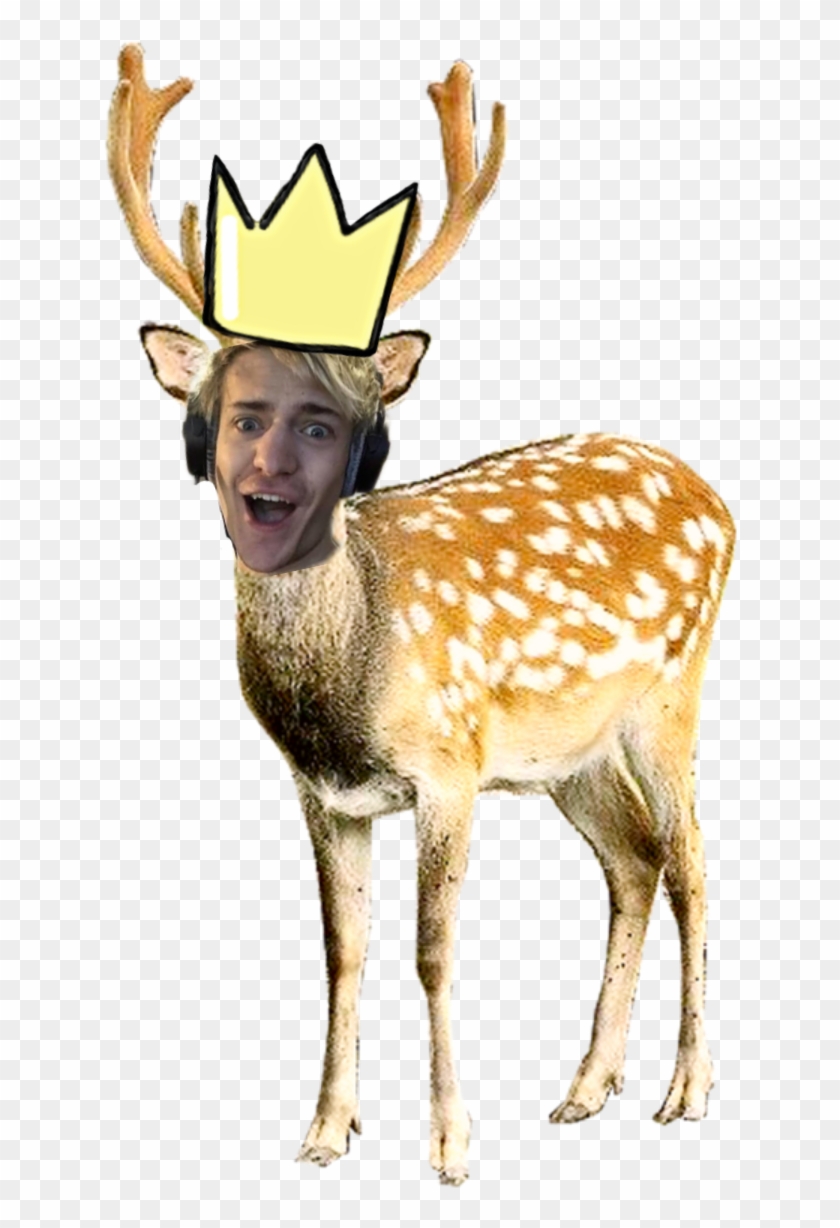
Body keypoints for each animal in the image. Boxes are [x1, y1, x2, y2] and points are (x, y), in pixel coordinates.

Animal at [109, 44, 736, 1185]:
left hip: (671, 692)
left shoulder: (448, 763)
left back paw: (686, 1089)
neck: (344, 682)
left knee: (694, 862)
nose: (267, 486)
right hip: (567, 754)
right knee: (635, 860)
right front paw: (325, 1129)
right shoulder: (327, 793)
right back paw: (587, 1086)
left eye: (343, 409)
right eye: (239, 404)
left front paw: (449, 1143)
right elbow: (343, 950)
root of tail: (722, 501)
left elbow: (432, 950)